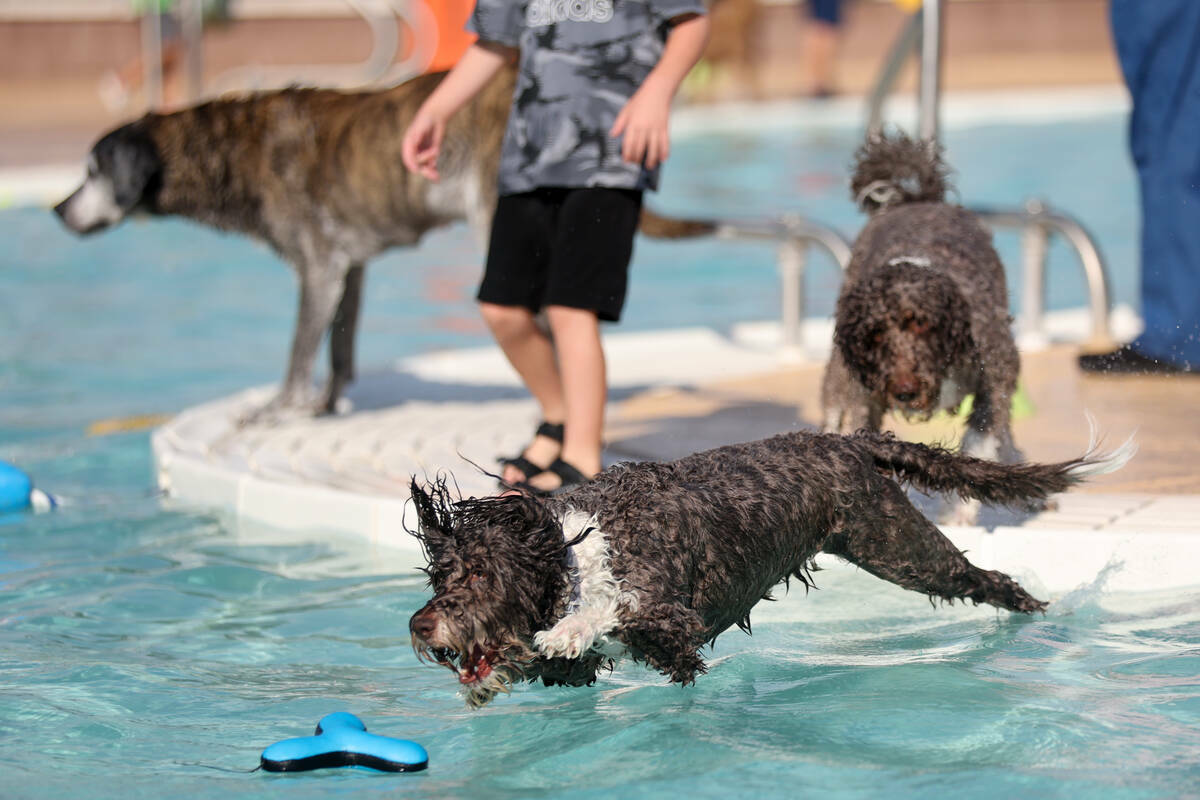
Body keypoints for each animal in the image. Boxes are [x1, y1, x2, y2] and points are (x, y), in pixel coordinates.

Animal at [54, 67, 710, 424]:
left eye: (91, 171)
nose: (58, 211)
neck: (228, 149)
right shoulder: (350, 268)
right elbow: (340, 350)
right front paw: (324, 406)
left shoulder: (318, 269)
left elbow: (298, 354)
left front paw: (276, 411)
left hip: (496, 227)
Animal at [408, 431, 1128, 705]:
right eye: (439, 578)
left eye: (480, 576)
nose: (420, 627)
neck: (575, 552)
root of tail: (847, 439)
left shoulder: (670, 618)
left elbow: (624, 613)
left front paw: (563, 630)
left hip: (899, 549)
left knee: (984, 580)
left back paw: (1041, 614)